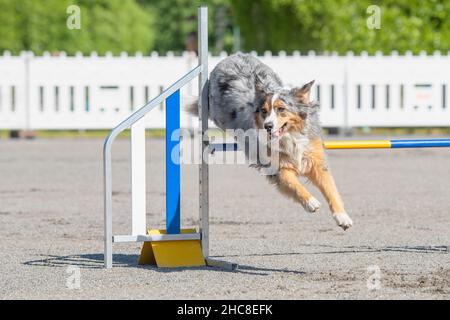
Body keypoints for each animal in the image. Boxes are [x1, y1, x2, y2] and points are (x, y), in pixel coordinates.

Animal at [188, 53, 354, 230]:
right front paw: (311, 202)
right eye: (264, 111)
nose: (267, 126)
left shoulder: (315, 160)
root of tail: (232, 56)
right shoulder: (276, 167)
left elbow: (330, 189)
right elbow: (293, 183)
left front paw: (342, 217)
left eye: (281, 109)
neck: (289, 136)